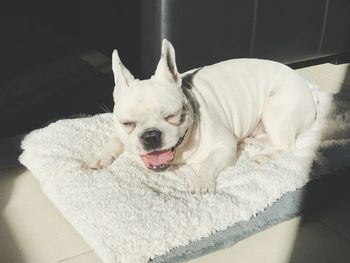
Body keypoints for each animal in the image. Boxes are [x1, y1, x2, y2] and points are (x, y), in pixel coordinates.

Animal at [85, 39, 318, 194]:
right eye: (128, 123)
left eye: (172, 116)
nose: (151, 135)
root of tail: (308, 87)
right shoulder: (119, 132)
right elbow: (113, 141)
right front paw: (99, 157)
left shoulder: (224, 145)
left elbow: (208, 163)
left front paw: (202, 182)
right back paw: (251, 142)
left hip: (275, 111)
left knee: (287, 146)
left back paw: (263, 157)